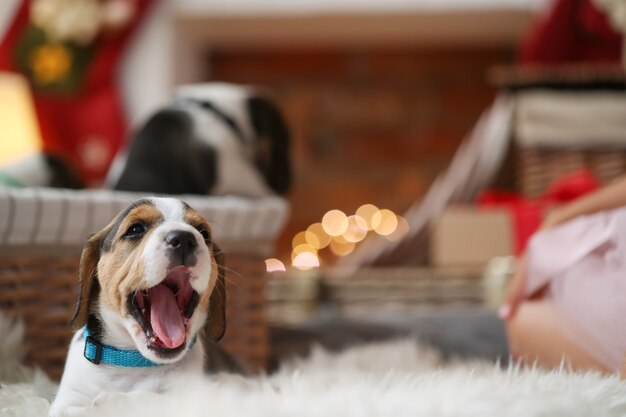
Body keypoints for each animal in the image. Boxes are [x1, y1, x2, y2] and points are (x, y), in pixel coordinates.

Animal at [49, 197, 224, 414]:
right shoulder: (66, 402)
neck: (132, 362)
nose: (184, 239)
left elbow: (154, 399)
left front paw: (109, 402)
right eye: (135, 229)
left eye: (203, 232)